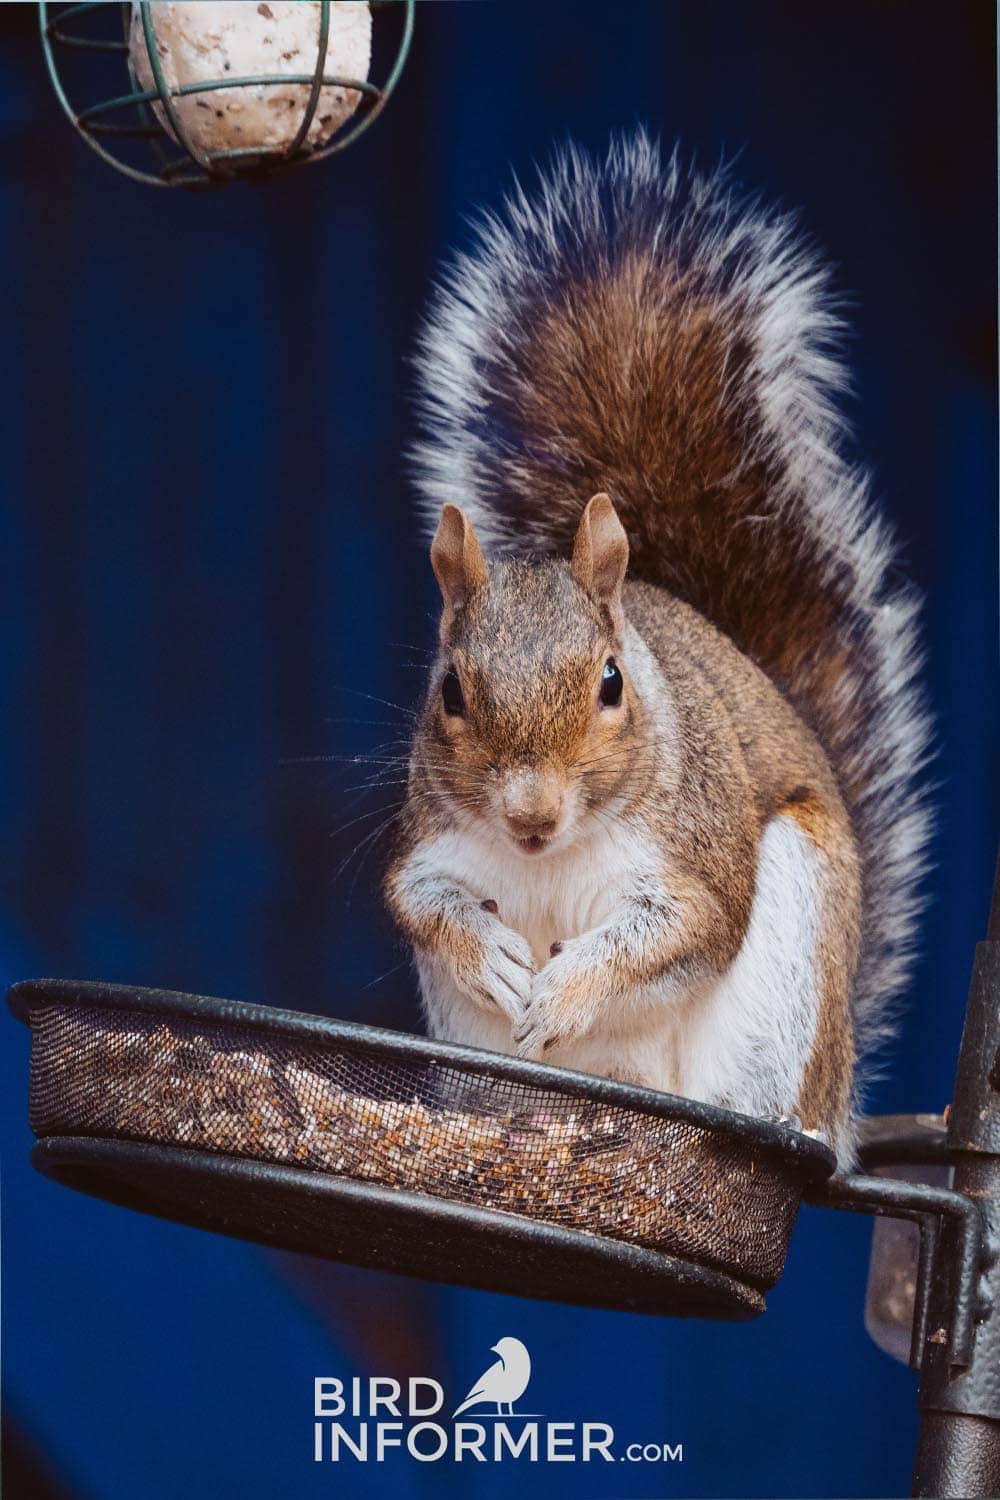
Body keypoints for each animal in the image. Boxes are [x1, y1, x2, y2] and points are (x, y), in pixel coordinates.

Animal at [383, 132, 929, 1170]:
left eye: (611, 684)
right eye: (450, 693)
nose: (530, 817)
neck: (554, 856)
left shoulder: (695, 857)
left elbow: (675, 933)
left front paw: (565, 987)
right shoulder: (431, 839)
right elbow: (417, 899)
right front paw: (491, 954)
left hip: (789, 968)